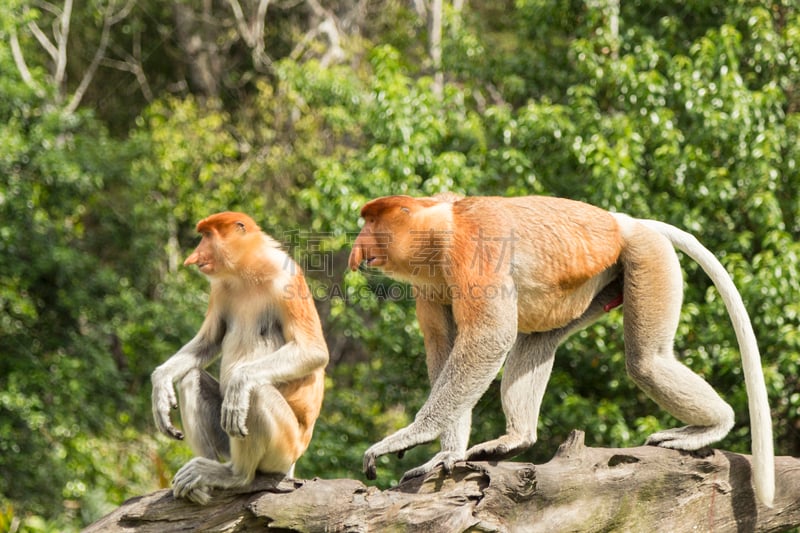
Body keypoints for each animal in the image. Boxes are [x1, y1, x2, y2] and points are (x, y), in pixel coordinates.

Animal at [150, 212, 328, 502]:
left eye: (207, 236)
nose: (194, 256)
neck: (246, 270)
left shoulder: (286, 278)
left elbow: (313, 350)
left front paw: (239, 382)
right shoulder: (219, 288)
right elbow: (209, 341)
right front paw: (161, 388)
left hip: (285, 449)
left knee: (257, 392)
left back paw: (234, 475)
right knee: (191, 378)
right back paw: (201, 482)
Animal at [348, 193, 776, 504]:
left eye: (372, 222)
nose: (356, 249)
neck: (440, 226)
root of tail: (627, 221)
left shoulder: (475, 248)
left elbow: (488, 337)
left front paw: (411, 436)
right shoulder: (429, 284)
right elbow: (444, 348)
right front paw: (445, 454)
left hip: (647, 257)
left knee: (647, 362)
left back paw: (713, 426)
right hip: (597, 285)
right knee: (540, 338)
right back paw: (514, 438)